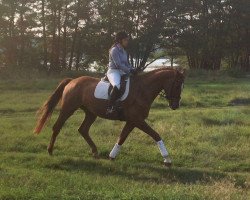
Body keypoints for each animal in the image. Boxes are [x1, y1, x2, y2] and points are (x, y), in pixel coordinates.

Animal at [34, 68, 185, 166]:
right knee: (57, 127)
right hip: (68, 109)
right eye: (177, 85)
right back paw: (50, 151)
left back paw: (95, 152)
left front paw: (112, 156)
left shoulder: (132, 121)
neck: (142, 90)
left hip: (91, 113)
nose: (175, 105)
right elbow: (156, 135)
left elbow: (122, 138)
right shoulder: (137, 120)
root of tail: (72, 81)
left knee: (83, 130)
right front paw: (167, 159)